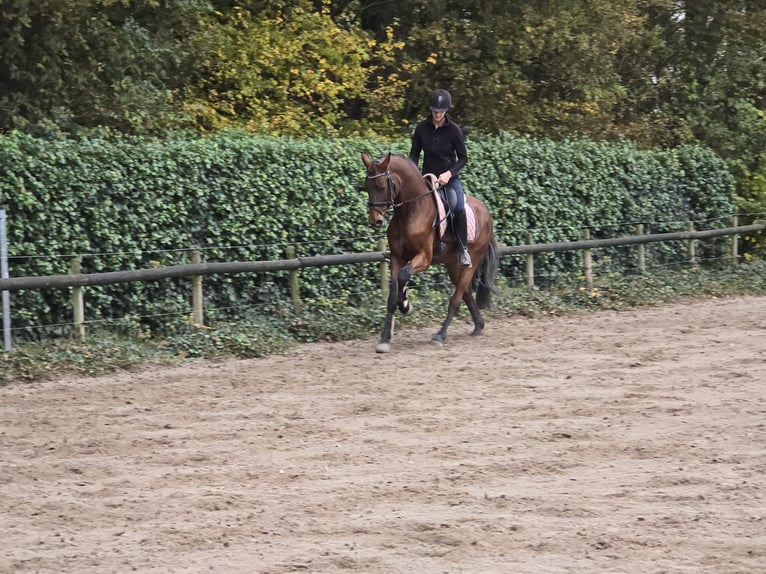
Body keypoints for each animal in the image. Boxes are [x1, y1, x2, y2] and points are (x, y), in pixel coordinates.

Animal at [364, 151, 500, 354]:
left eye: (381, 186)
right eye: (366, 186)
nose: (375, 221)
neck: (411, 211)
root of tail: (486, 212)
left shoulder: (424, 258)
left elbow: (404, 275)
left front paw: (405, 306)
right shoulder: (396, 258)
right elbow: (392, 294)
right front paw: (385, 339)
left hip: (472, 260)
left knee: (456, 299)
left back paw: (440, 335)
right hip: (452, 264)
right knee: (466, 292)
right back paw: (478, 325)